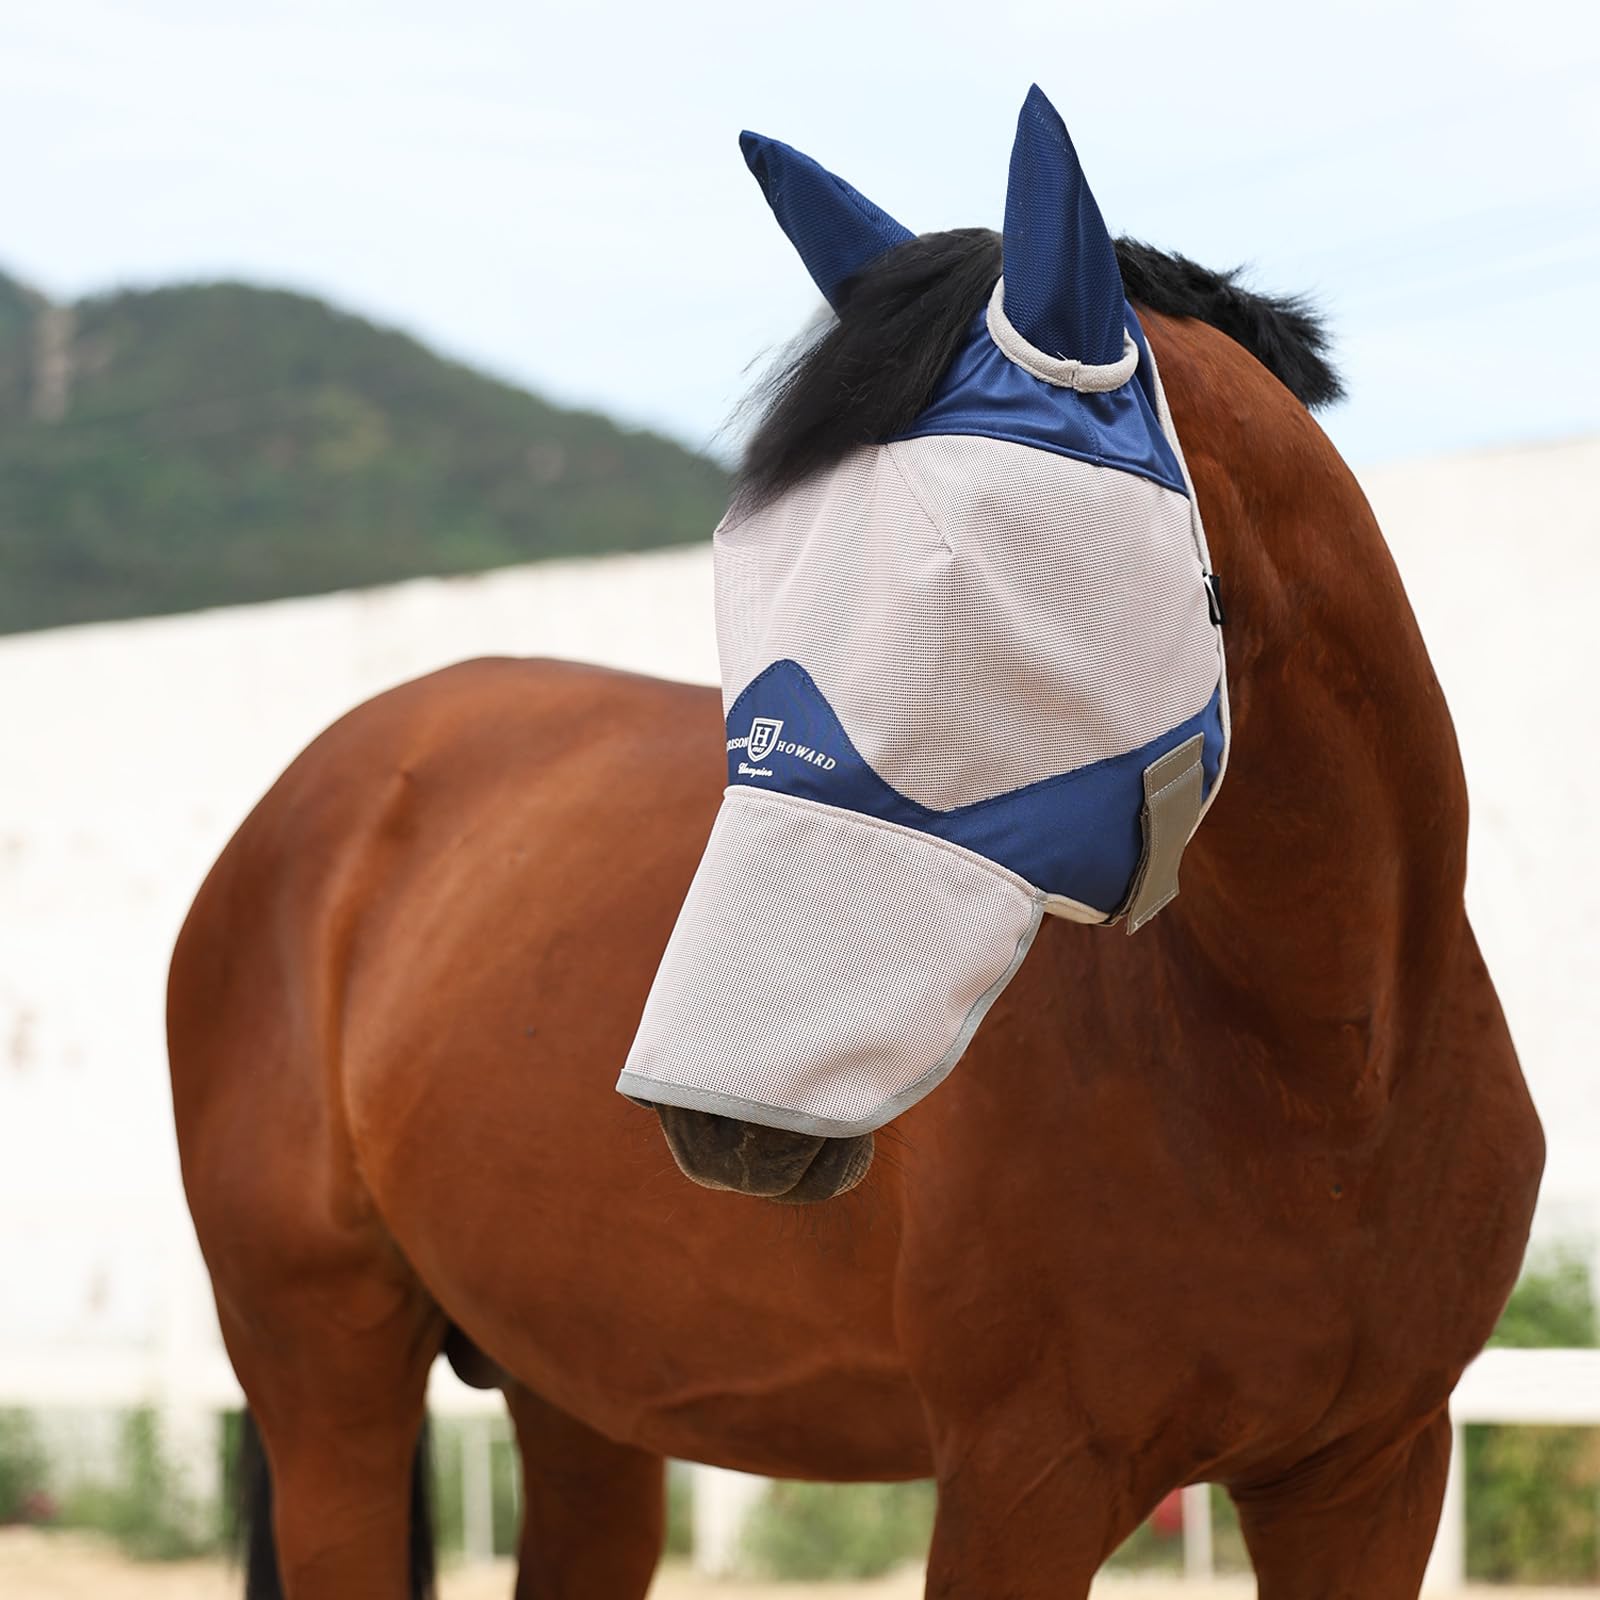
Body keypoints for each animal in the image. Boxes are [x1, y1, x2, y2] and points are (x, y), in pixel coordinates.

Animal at [168, 89, 1543, 1600]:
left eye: (979, 577)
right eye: (747, 563)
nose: (713, 1117)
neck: (1324, 1076)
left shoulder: (1370, 1475)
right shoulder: (1024, 1479)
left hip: (580, 1397)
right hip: (326, 1381)